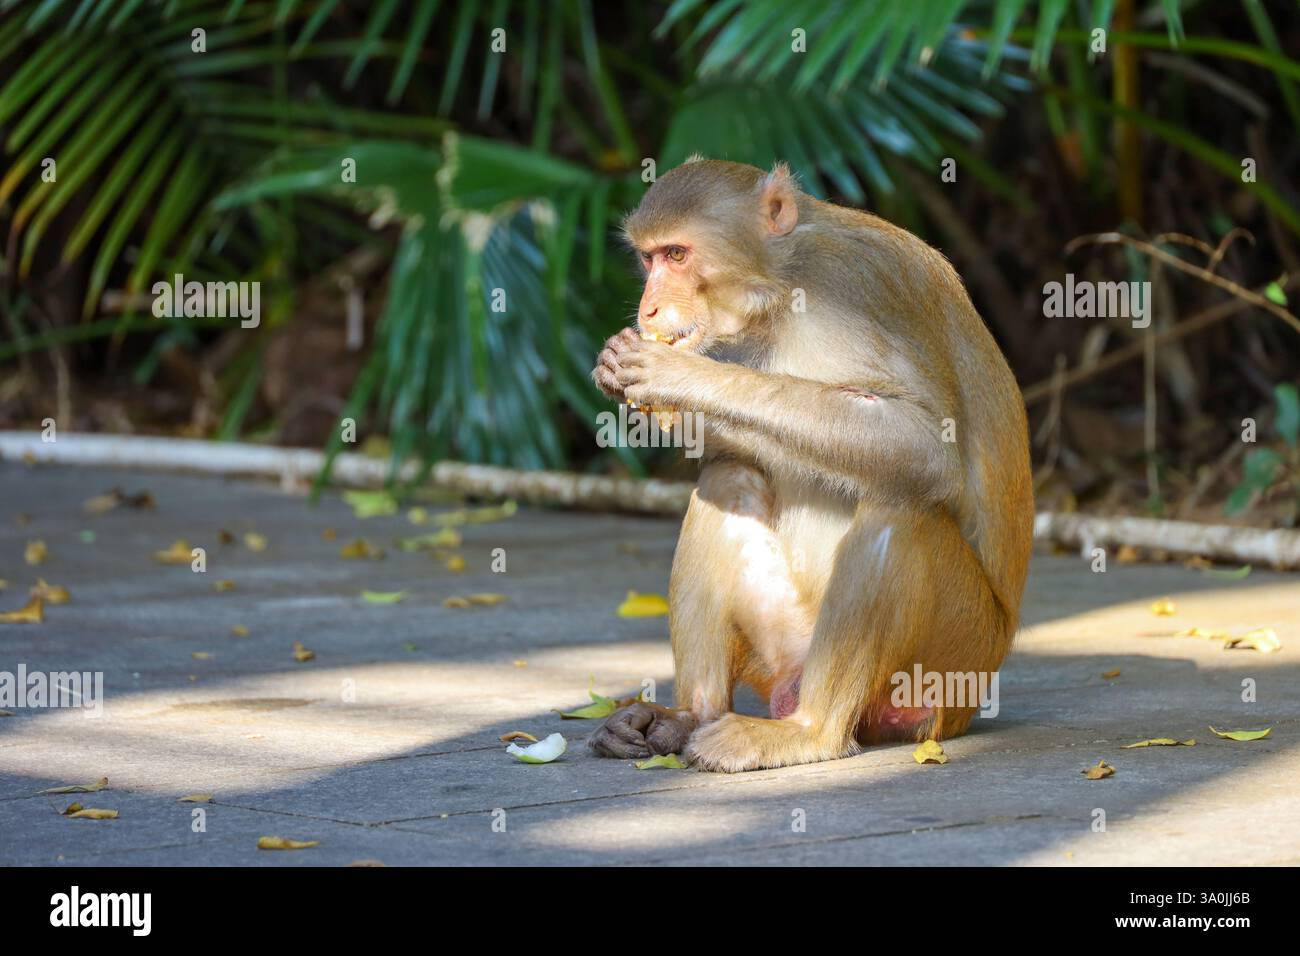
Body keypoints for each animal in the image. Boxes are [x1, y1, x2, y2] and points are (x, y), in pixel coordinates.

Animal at [588, 158, 1034, 773]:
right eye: (648, 258)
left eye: (676, 254)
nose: (648, 308)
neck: (782, 287)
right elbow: (730, 454)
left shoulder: (852, 287)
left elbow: (926, 448)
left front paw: (678, 376)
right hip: (784, 645)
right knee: (730, 478)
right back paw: (691, 715)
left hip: (953, 664)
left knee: (899, 512)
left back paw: (811, 732)